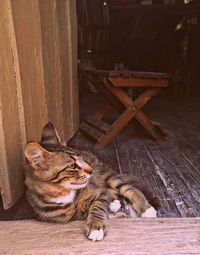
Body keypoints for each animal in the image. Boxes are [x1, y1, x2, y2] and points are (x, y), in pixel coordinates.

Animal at [24, 122, 160, 242]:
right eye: (72, 166)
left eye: (81, 158)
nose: (91, 170)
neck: (64, 193)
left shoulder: (99, 193)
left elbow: (97, 206)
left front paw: (96, 226)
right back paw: (114, 204)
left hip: (107, 176)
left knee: (128, 188)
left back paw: (145, 208)